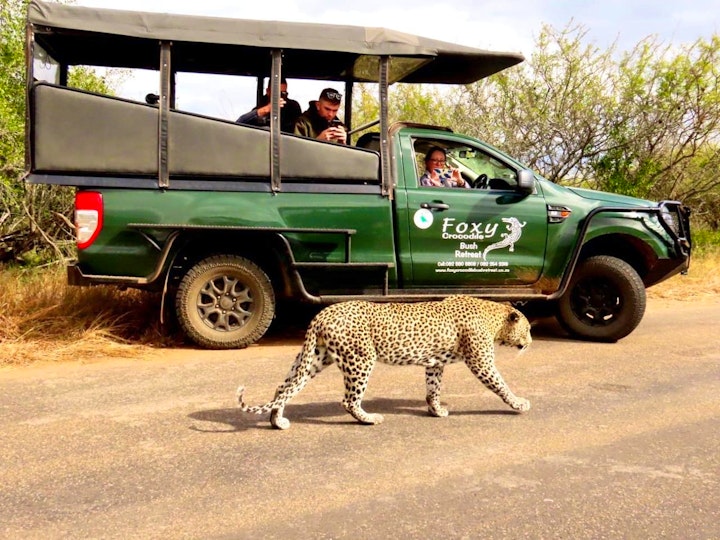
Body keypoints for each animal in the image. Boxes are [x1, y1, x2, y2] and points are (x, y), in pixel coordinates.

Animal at [235, 296, 528, 430]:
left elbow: (433, 389)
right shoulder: (481, 361)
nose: (529, 342)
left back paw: (278, 421)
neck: (495, 317)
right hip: (361, 358)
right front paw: (519, 404)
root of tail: (322, 313)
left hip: (317, 357)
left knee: (284, 388)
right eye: (526, 329)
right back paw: (369, 419)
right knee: (348, 400)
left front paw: (435, 410)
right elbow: (501, 384)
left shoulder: (434, 363)